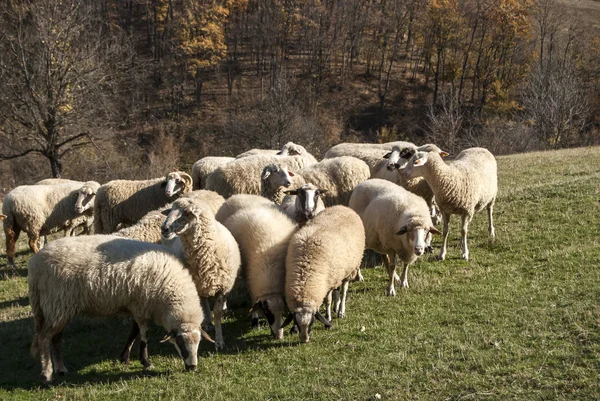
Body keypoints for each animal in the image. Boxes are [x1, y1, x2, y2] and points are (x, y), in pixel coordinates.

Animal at [28, 234, 211, 384]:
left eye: (199, 342)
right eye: (180, 342)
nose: (192, 367)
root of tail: (35, 265)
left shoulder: (136, 305)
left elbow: (134, 332)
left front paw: (125, 357)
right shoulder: (141, 305)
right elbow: (143, 334)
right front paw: (145, 361)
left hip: (59, 308)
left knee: (56, 338)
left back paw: (60, 368)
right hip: (57, 303)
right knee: (44, 338)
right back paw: (47, 374)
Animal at [163, 198, 243, 348]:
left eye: (187, 212)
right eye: (170, 210)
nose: (164, 228)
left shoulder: (224, 286)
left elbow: (217, 312)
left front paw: (219, 341)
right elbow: (203, 307)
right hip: (199, 284)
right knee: (204, 302)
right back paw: (207, 323)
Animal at [220, 205, 298, 340]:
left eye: (282, 311)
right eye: (267, 313)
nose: (279, 336)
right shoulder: (251, 282)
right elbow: (253, 302)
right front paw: (255, 323)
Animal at [286, 206, 366, 340]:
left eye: (312, 322)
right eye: (296, 321)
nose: (304, 339)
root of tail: (343, 207)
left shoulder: (327, 282)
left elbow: (327, 301)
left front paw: (328, 320)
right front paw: (294, 328)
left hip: (349, 270)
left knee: (344, 290)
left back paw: (341, 311)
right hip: (338, 271)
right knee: (337, 290)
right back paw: (336, 307)